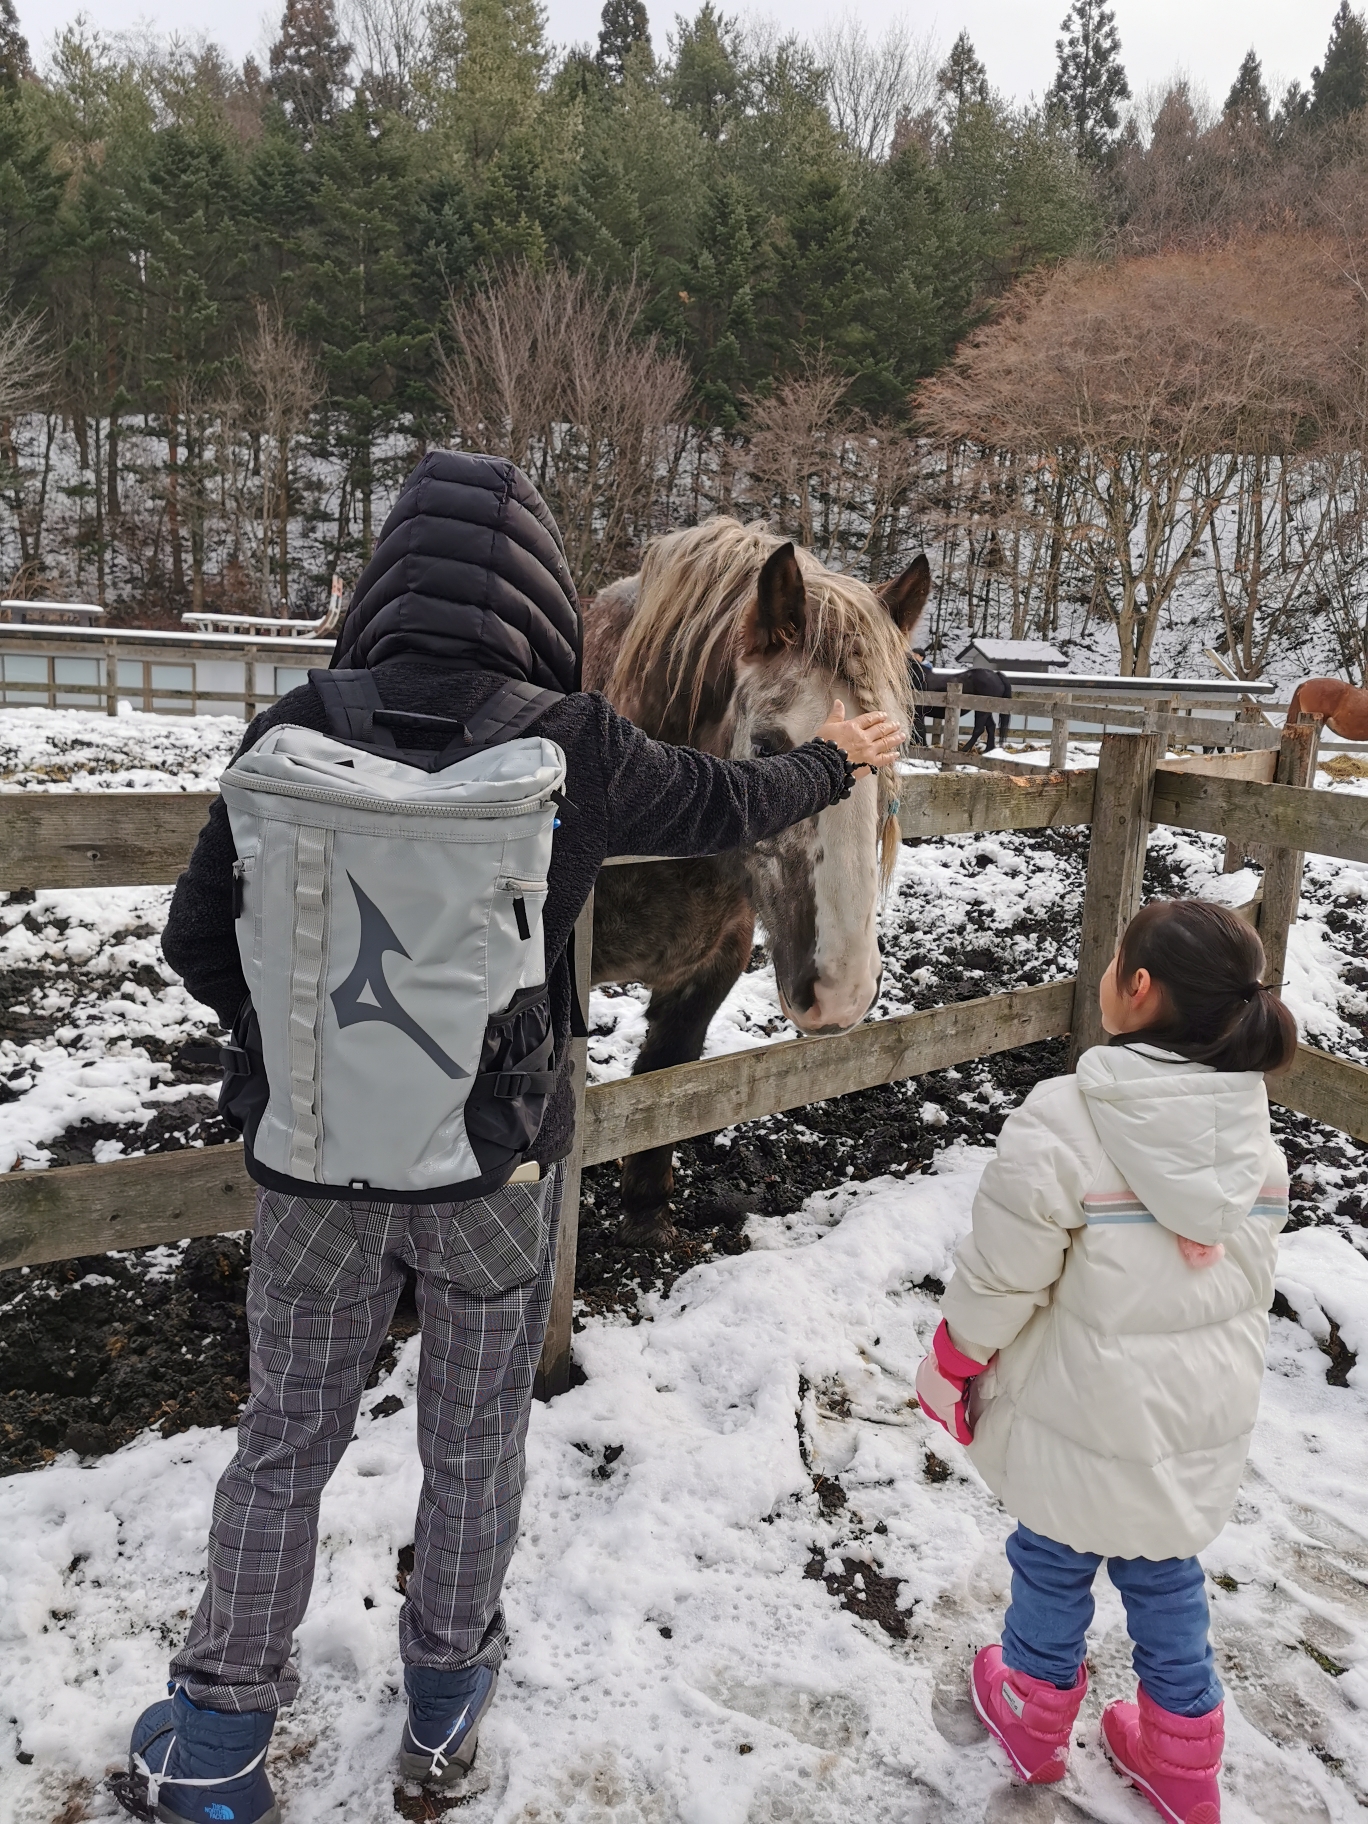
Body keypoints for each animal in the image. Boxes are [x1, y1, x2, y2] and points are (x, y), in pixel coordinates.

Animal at [583, 521, 941, 1247]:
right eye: (769, 747)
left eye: (894, 750)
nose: (840, 993)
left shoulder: (712, 966)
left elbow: (663, 1076)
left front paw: (646, 1211)